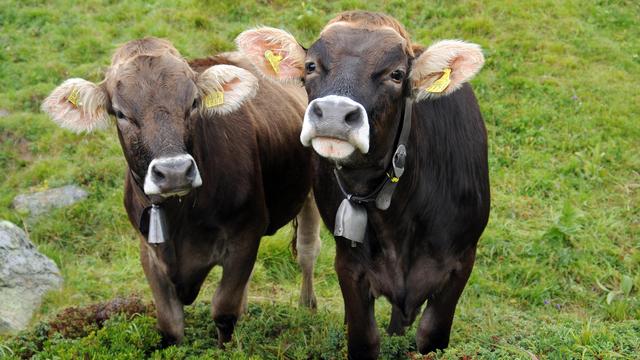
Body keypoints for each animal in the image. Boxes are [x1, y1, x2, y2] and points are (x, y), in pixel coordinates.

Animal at [41, 38, 320, 346]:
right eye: (121, 113)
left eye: (194, 103)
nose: (173, 171)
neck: (183, 218)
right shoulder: (149, 251)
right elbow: (171, 325)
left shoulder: (245, 234)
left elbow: (223, 310)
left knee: (307, 250)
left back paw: (308, 306)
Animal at [238, 10, 492, 358]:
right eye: (311, 66)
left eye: (396, 74)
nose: (333, 114)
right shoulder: (350, 266)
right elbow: (363, 338)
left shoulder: (460, 263)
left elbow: (431, 336)